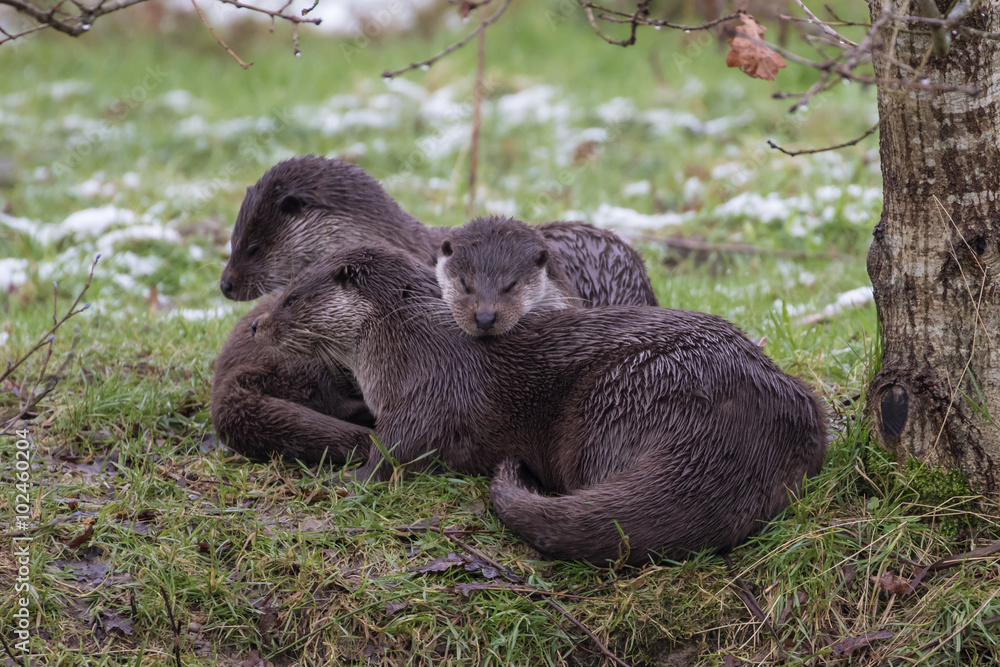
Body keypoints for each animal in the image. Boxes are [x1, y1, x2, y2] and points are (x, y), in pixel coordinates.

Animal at [251, 244, 829, 566]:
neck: (403, 334)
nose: (255, 326)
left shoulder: (427, 388)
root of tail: (749, 423)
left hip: (618, 399)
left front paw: (343, 482)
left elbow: (395, 450)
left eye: (291, 297)